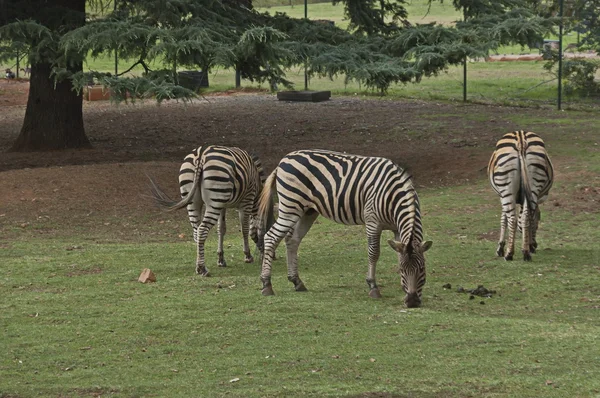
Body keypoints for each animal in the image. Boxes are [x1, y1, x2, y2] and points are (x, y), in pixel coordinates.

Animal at [150, 145, 274, 276]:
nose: (273, 256)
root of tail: (200, 155)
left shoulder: (222, 205)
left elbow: (221, 230)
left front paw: (221, 259)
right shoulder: (247, 200)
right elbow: (245, 229)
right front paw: (248, 256)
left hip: (196, 201)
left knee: (196, 231)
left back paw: (198, 265)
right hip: (215, 198)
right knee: (202, 230)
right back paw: (202, 268)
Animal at [254, 149, 432, 308]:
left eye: (422, 269)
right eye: (403, 270)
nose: (412, 302)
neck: (393, 195)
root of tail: (284, 160)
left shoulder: (397, 228)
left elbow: (398, 254)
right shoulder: (372, 221)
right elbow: (374, 253)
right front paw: (373, 286)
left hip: (307, 211)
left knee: (293, 240)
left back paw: (297, 282)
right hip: (290, 206)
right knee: (271, 237)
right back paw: (266, 284)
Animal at [488, 131, 552, 262]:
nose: (535, 245)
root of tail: (520, 138)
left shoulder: (502, 196)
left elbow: (504, 219)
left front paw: (500, 248)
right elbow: (526, 218)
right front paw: (528, 246)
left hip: (506, 189)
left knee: (512, 219)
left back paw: (509, 254)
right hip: (533, 184)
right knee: (526, 216)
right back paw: (526, 253)